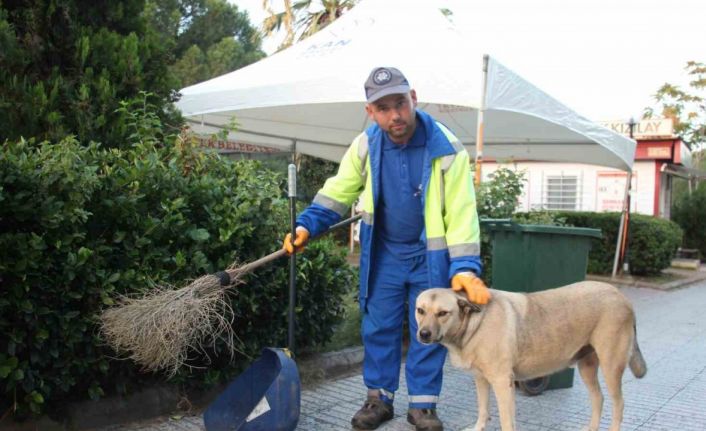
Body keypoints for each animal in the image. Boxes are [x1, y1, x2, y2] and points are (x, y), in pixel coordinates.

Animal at [416, 282, 648, 430]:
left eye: (443, 313)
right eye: (420, 310)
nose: (423, 334)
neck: (473, 323)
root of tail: (621, 296)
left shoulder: (502, 383)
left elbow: (506, 421)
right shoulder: (481, 379)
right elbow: (483, 410)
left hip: (611, 367)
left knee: (619, 405)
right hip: (587, 367)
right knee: (598, 398)